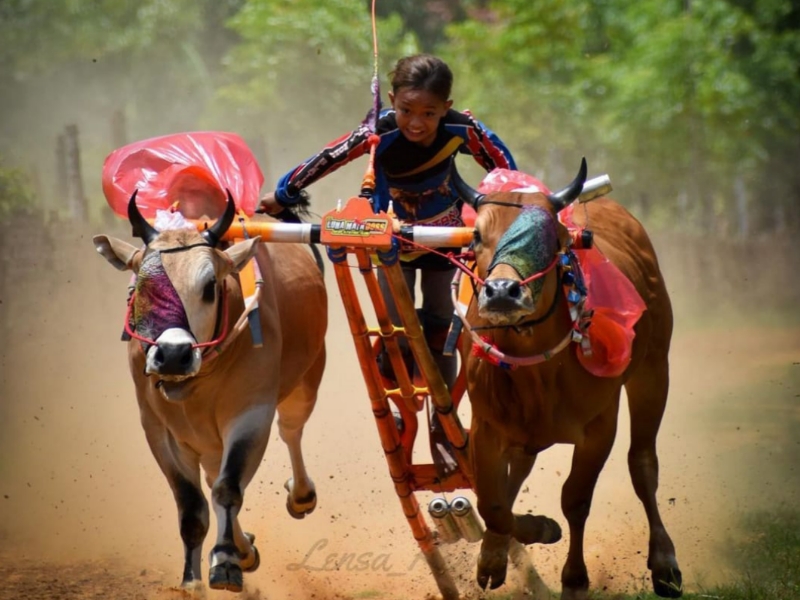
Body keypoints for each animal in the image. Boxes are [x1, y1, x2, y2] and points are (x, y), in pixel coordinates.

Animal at [94, 195, 328, 592]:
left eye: (209, 287)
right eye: (143, 287)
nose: (173, 354)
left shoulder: (251, 416)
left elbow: (228, 488)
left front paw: (225, 561)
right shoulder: (158, 430)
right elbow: (192, 507)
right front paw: (192, 581)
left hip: (307, 380)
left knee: (290, 432)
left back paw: (299, 497)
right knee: (213, 473)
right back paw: (245, 547)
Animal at [450, 161, 680, 600]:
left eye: (550, 236)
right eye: (476, 235)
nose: (501, 292)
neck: (538, 373)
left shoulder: (599, 428)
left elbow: (575, 499)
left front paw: (574, 579)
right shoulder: (486, 426)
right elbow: (493, 504)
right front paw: (505, 547)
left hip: (653, 370)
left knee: (643, 464)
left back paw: (665, 563)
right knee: (517, 473)